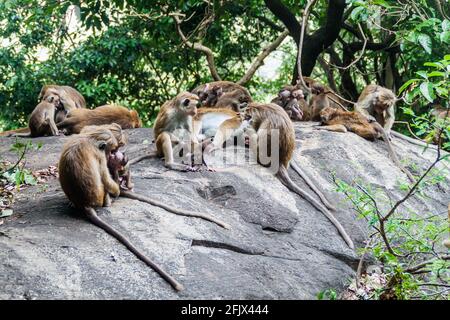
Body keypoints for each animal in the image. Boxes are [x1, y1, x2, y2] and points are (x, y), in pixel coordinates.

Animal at [59, 126, 184, 292]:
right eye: (113, 149)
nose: (115, 153)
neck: (90, 138)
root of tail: (84, 203)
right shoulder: (100, 155)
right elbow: (106, 178)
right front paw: (118, 187)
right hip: (101, 197)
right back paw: (114, 195)